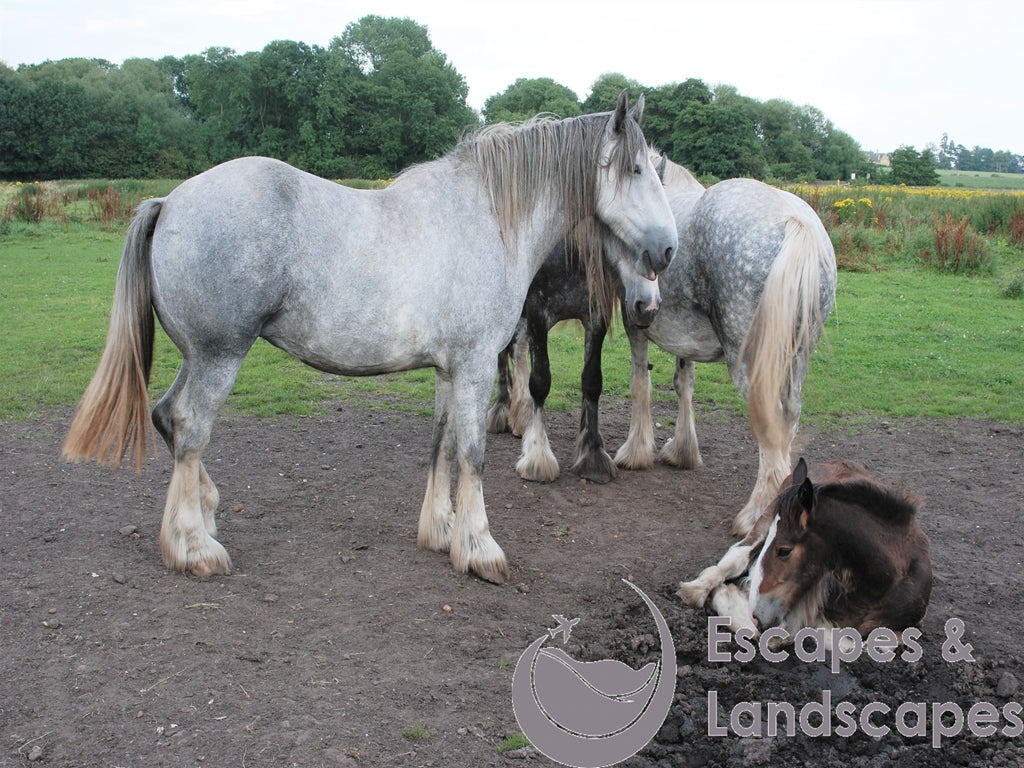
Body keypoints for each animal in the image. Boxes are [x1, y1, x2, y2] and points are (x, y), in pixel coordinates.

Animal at [62, 91, 678, 584]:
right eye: (637, 170)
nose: (667, 250)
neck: (487, 219)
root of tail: (169, 203)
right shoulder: (477, 363)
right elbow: (473, 453)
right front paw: (479, 548)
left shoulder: (449, 369)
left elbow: (443, 443)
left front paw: (441, 530)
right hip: (219, 355)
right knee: (190, 427)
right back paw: (194, 547)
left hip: (197, 355)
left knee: (166, 415)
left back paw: (203, 515)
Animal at [490, 155, 836, 535]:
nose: (649, 302)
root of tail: (794, 220)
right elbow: (676, 384)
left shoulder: (623, 321)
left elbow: (633, 381)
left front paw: (629, 452)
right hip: (794, 359)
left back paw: (757, 516)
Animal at [679, 458, 932, 651]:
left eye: (784, 550)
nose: (757, 615)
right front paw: (727, 595)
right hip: (763, 520)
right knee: (737, 555)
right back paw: (696, 590)